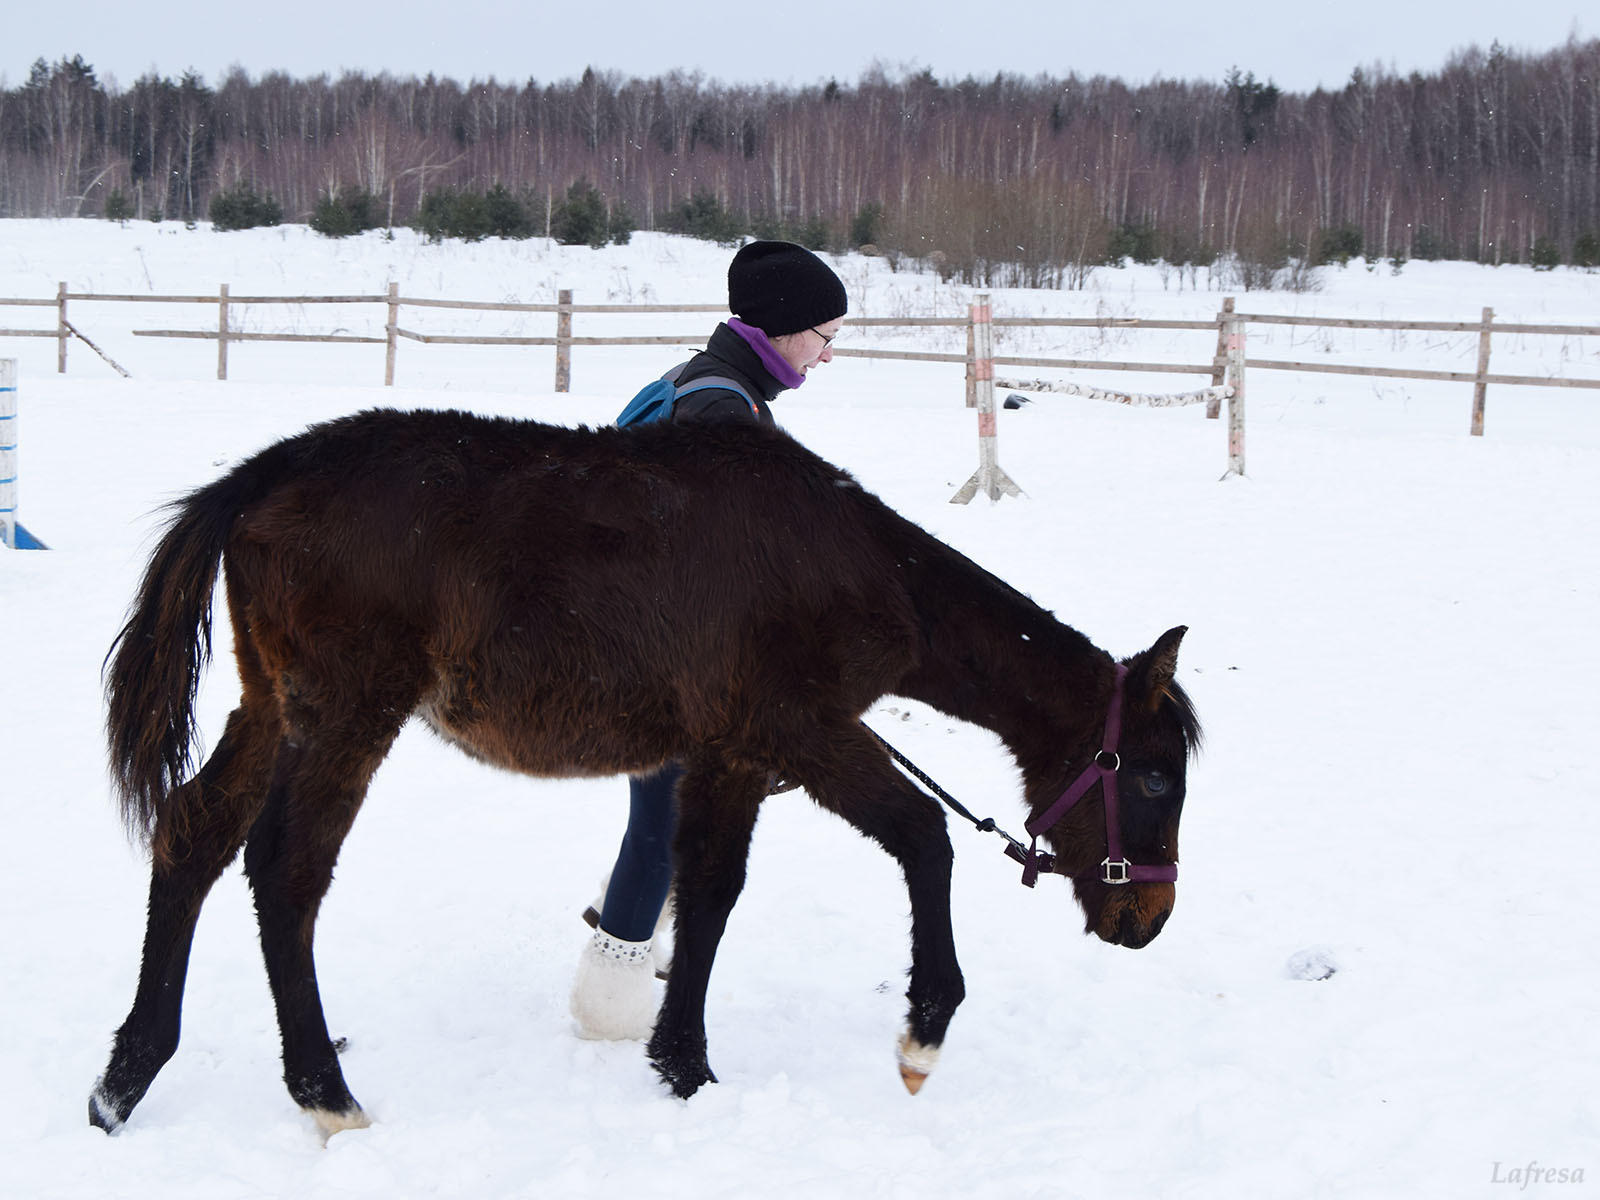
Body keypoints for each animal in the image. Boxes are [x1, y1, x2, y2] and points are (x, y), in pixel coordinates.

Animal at [81, 409, 1196, 1139]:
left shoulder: (730, 754)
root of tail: (265, 474)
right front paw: (921, 1035)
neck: (849, 559)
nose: (1147, 919)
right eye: (1150, 780)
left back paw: (125, 1079)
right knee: (285, 871)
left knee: (192, 835)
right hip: (345, 715)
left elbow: (707, 892)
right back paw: (324, 1094)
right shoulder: (801, 730)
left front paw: (682, 1063)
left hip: (273, 709)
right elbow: (923, 838)